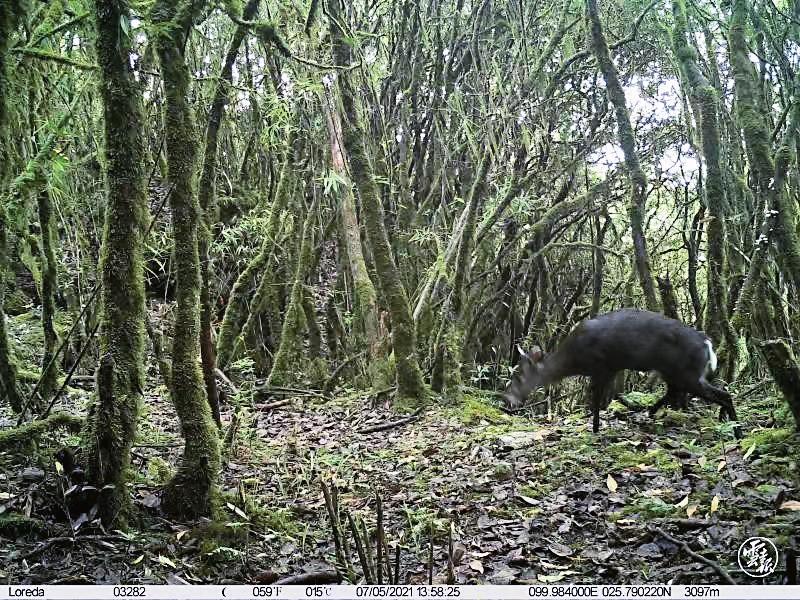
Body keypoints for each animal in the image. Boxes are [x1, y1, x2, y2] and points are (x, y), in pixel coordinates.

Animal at [504, 310, 740, 436]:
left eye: (519, 375)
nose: (507, 399)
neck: (575, 358)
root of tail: (707, 343)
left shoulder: (602, 367)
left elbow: (596, 399)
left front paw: (595, 428)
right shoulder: (610, 369)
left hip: (687, 372)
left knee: (723, 394)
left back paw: (736, 430)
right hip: (674, 371)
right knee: (676, 391)